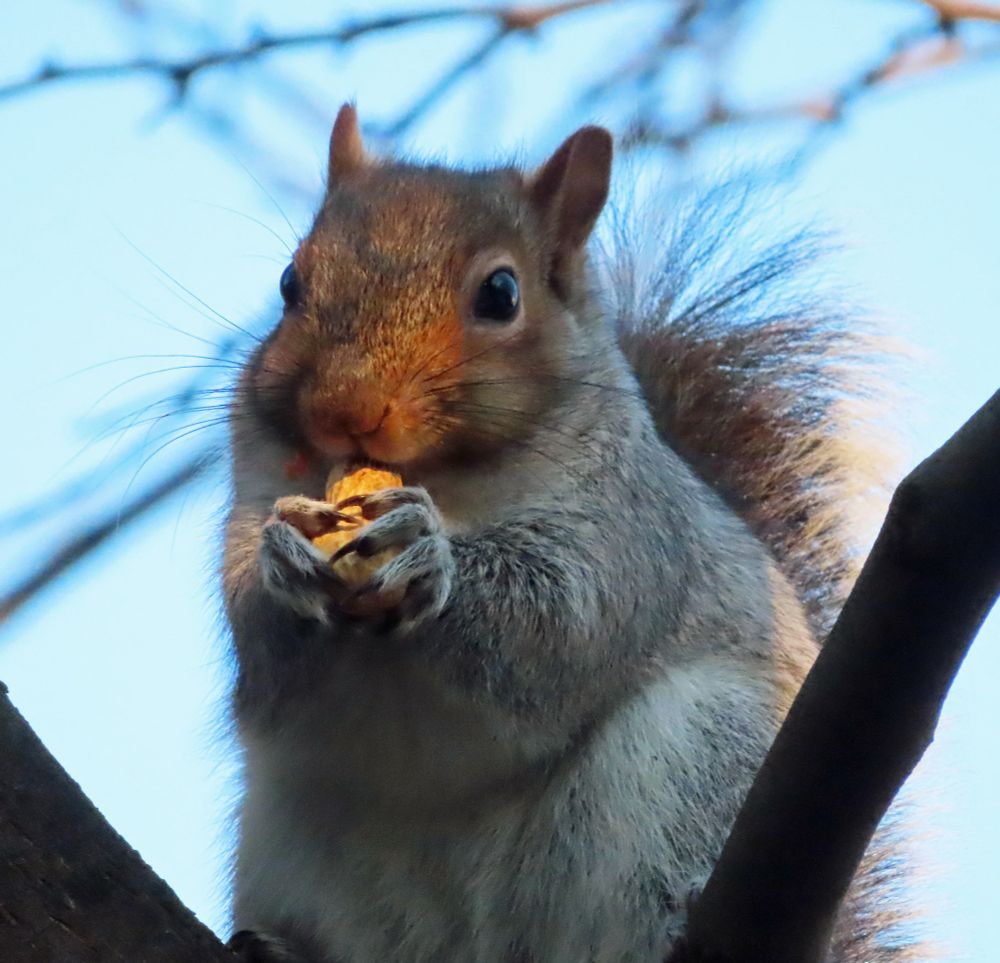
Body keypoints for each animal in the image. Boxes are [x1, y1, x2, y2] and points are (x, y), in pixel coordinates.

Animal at [222, 104, 911, 963]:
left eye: (501, 292)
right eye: (290, 282)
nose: (343, 407)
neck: (453, 481)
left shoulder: (630, 530)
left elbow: (560, 621)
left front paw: (429, 555)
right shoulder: (249, 492)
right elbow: (257, 647)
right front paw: (282, 561)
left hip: (697, 770)